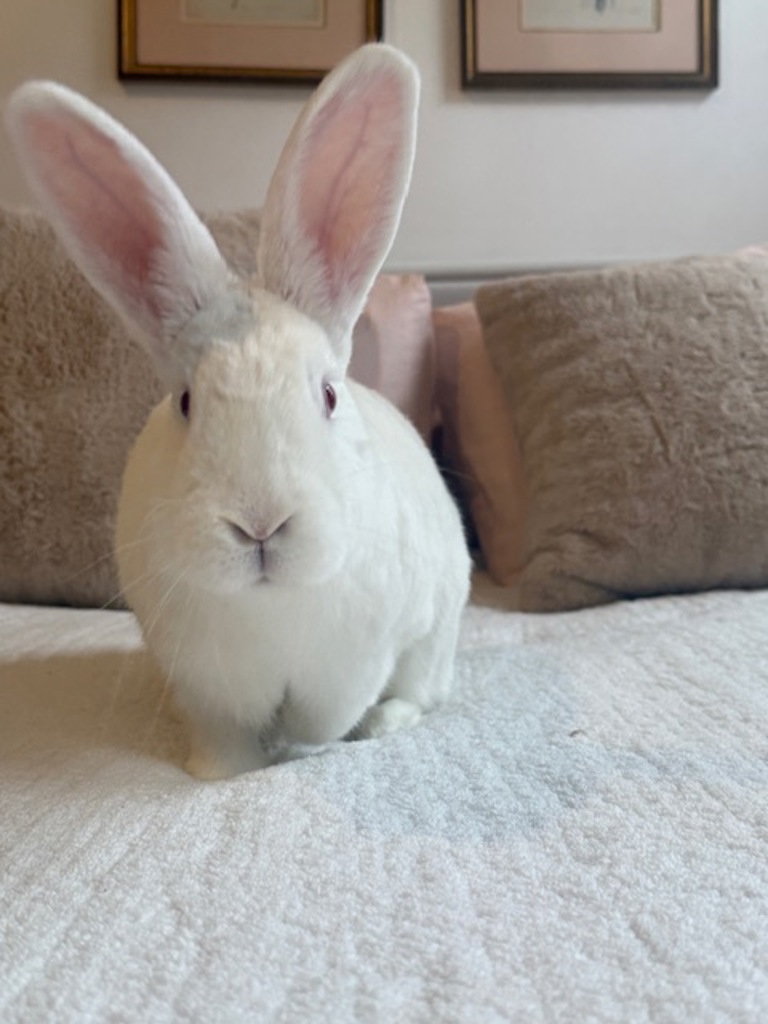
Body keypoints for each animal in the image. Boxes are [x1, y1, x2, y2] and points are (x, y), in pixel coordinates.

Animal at [5, 44, 471, 780]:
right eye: (186, 401)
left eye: (328, 394)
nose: (260, 523)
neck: (267, 608)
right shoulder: (202, 686)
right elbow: (224, 740)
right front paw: (223, 773)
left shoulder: (354, 665)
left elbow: (324, 718)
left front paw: (306, 748)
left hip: (434, 641)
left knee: (422, 694)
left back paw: (383, 723)